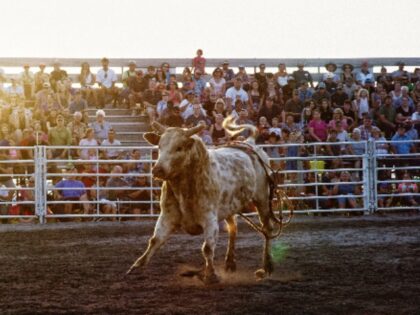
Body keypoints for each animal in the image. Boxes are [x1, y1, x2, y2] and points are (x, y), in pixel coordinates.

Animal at [125, 117, 282, 286]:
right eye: (159, 146)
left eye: (179, 147)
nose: (157, 170)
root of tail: (250, 143)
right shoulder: (167, 215)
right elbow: (155, 240)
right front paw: (136, 267)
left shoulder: (209, 218)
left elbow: (207, 248)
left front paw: (211, 275)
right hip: (229, 206)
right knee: (233, 228)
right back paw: (230, 262)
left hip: (262, 199)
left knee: (267, 229)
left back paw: (266, 267)